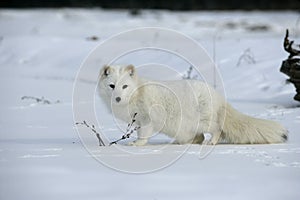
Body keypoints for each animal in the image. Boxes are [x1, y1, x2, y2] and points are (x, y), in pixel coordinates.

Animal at [99, 65, 288, 146]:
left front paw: (137, 145)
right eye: (112, 86)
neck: (137, 92)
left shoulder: (147, 120)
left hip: (205, 121)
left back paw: (211, 143)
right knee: (198, 137)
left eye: (125, 86)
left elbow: (143, 135)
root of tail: (218, 97)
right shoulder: (137, 121)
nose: (117, 98)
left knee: (217, 130)